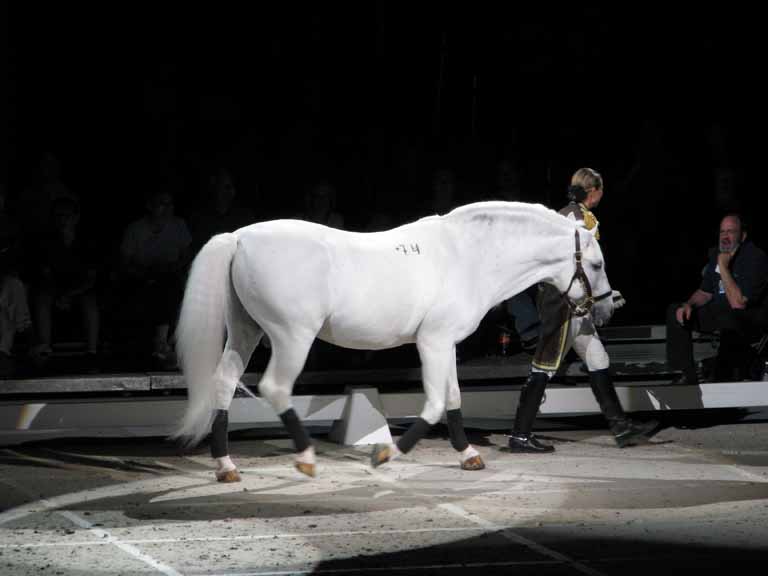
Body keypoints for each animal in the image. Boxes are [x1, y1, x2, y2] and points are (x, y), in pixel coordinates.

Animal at [171, 202, 616, 482]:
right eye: (596, 264)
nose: (607, 309)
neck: (467, 257)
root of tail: (239, 238)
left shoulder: (446, 344)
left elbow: (453, 398)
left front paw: (469, 456)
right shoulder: (433, 342)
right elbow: (434, 403)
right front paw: (385, 455)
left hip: (245, 330)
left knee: (224, 383)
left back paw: (226, 467)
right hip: (291, 336)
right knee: (275, 387)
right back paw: (307, 460)